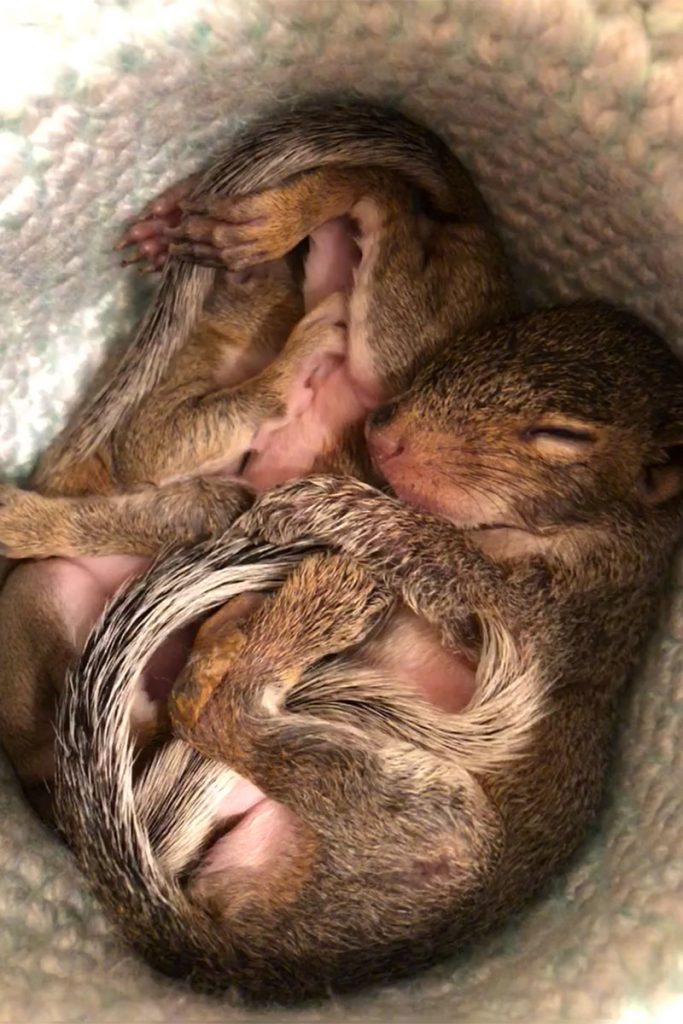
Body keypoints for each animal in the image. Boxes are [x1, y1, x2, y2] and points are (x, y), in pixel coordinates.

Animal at [54, 301, 683, 1002]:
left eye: (562, 434)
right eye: (487, 334)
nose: (384, 431)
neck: (619, 531)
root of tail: (267, 962)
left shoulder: (547, 620)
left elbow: (435, 548)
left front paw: (308, 501)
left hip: (438, 834)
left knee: (220, 715)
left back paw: (317, 606)